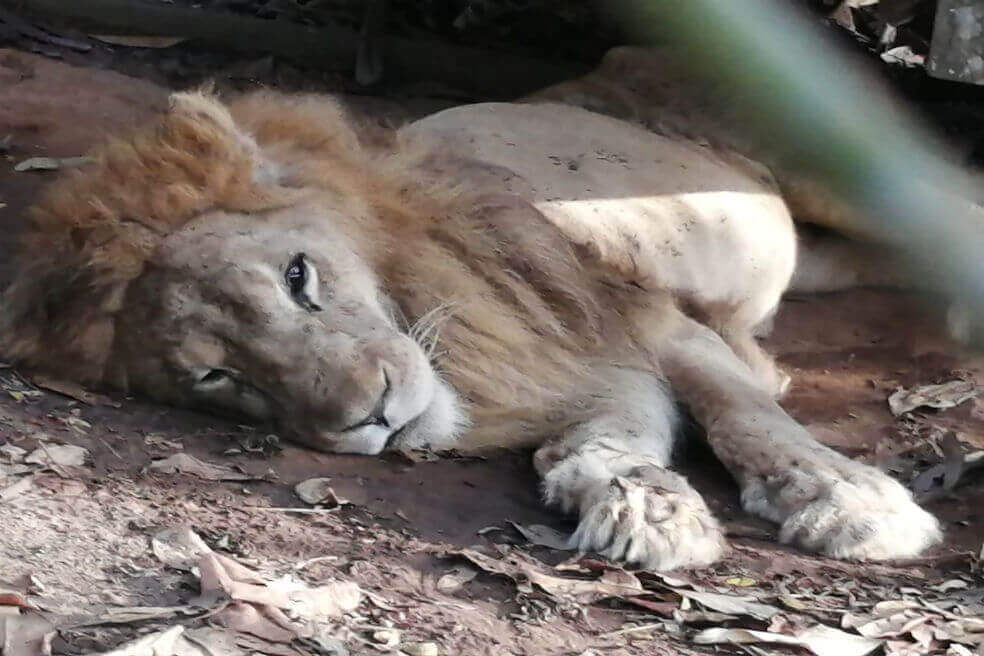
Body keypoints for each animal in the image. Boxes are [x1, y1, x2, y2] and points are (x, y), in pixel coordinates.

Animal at [0, 78, 942, 570]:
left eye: (298, 277)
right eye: (217, 377)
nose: (372, 417)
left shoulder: (629, 317)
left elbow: (746, 414)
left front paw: (850, 501)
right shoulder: (580, 366)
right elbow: (605, 437)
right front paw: (646, 505)